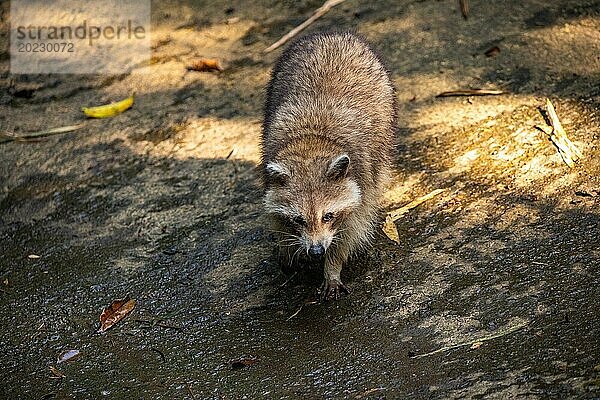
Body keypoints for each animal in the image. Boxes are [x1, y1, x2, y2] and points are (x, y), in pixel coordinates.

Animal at [260, 32, 396, 300]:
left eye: (328, 216)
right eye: (299, 219)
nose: (316, 251)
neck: (311, 143)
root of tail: (334, 33)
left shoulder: (361, 180)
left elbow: (351, 231)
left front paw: (332, 267)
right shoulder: (269, 162)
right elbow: (277, 219)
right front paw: (288, 248)